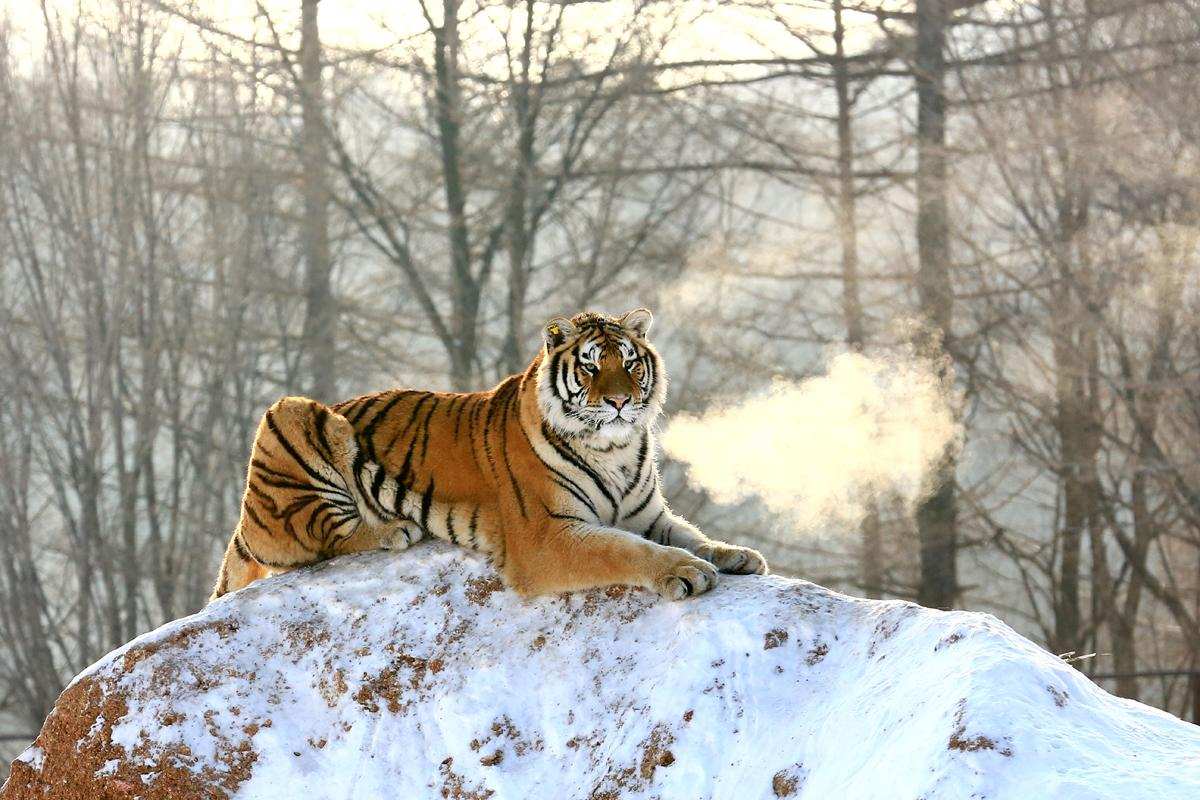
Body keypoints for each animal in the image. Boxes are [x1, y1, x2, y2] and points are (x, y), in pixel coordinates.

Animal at [210, 309, 763, 604]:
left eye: (629, 363)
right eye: (590, 367)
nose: (620, 402)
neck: (616, 448)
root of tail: (243, 518)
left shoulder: (647, 515)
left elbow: (690, 534)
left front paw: (735, 554)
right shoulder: (547, 535)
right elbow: (626, 550)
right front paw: (686, 571)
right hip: (292, 416)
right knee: (326, 539)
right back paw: (393, 530)